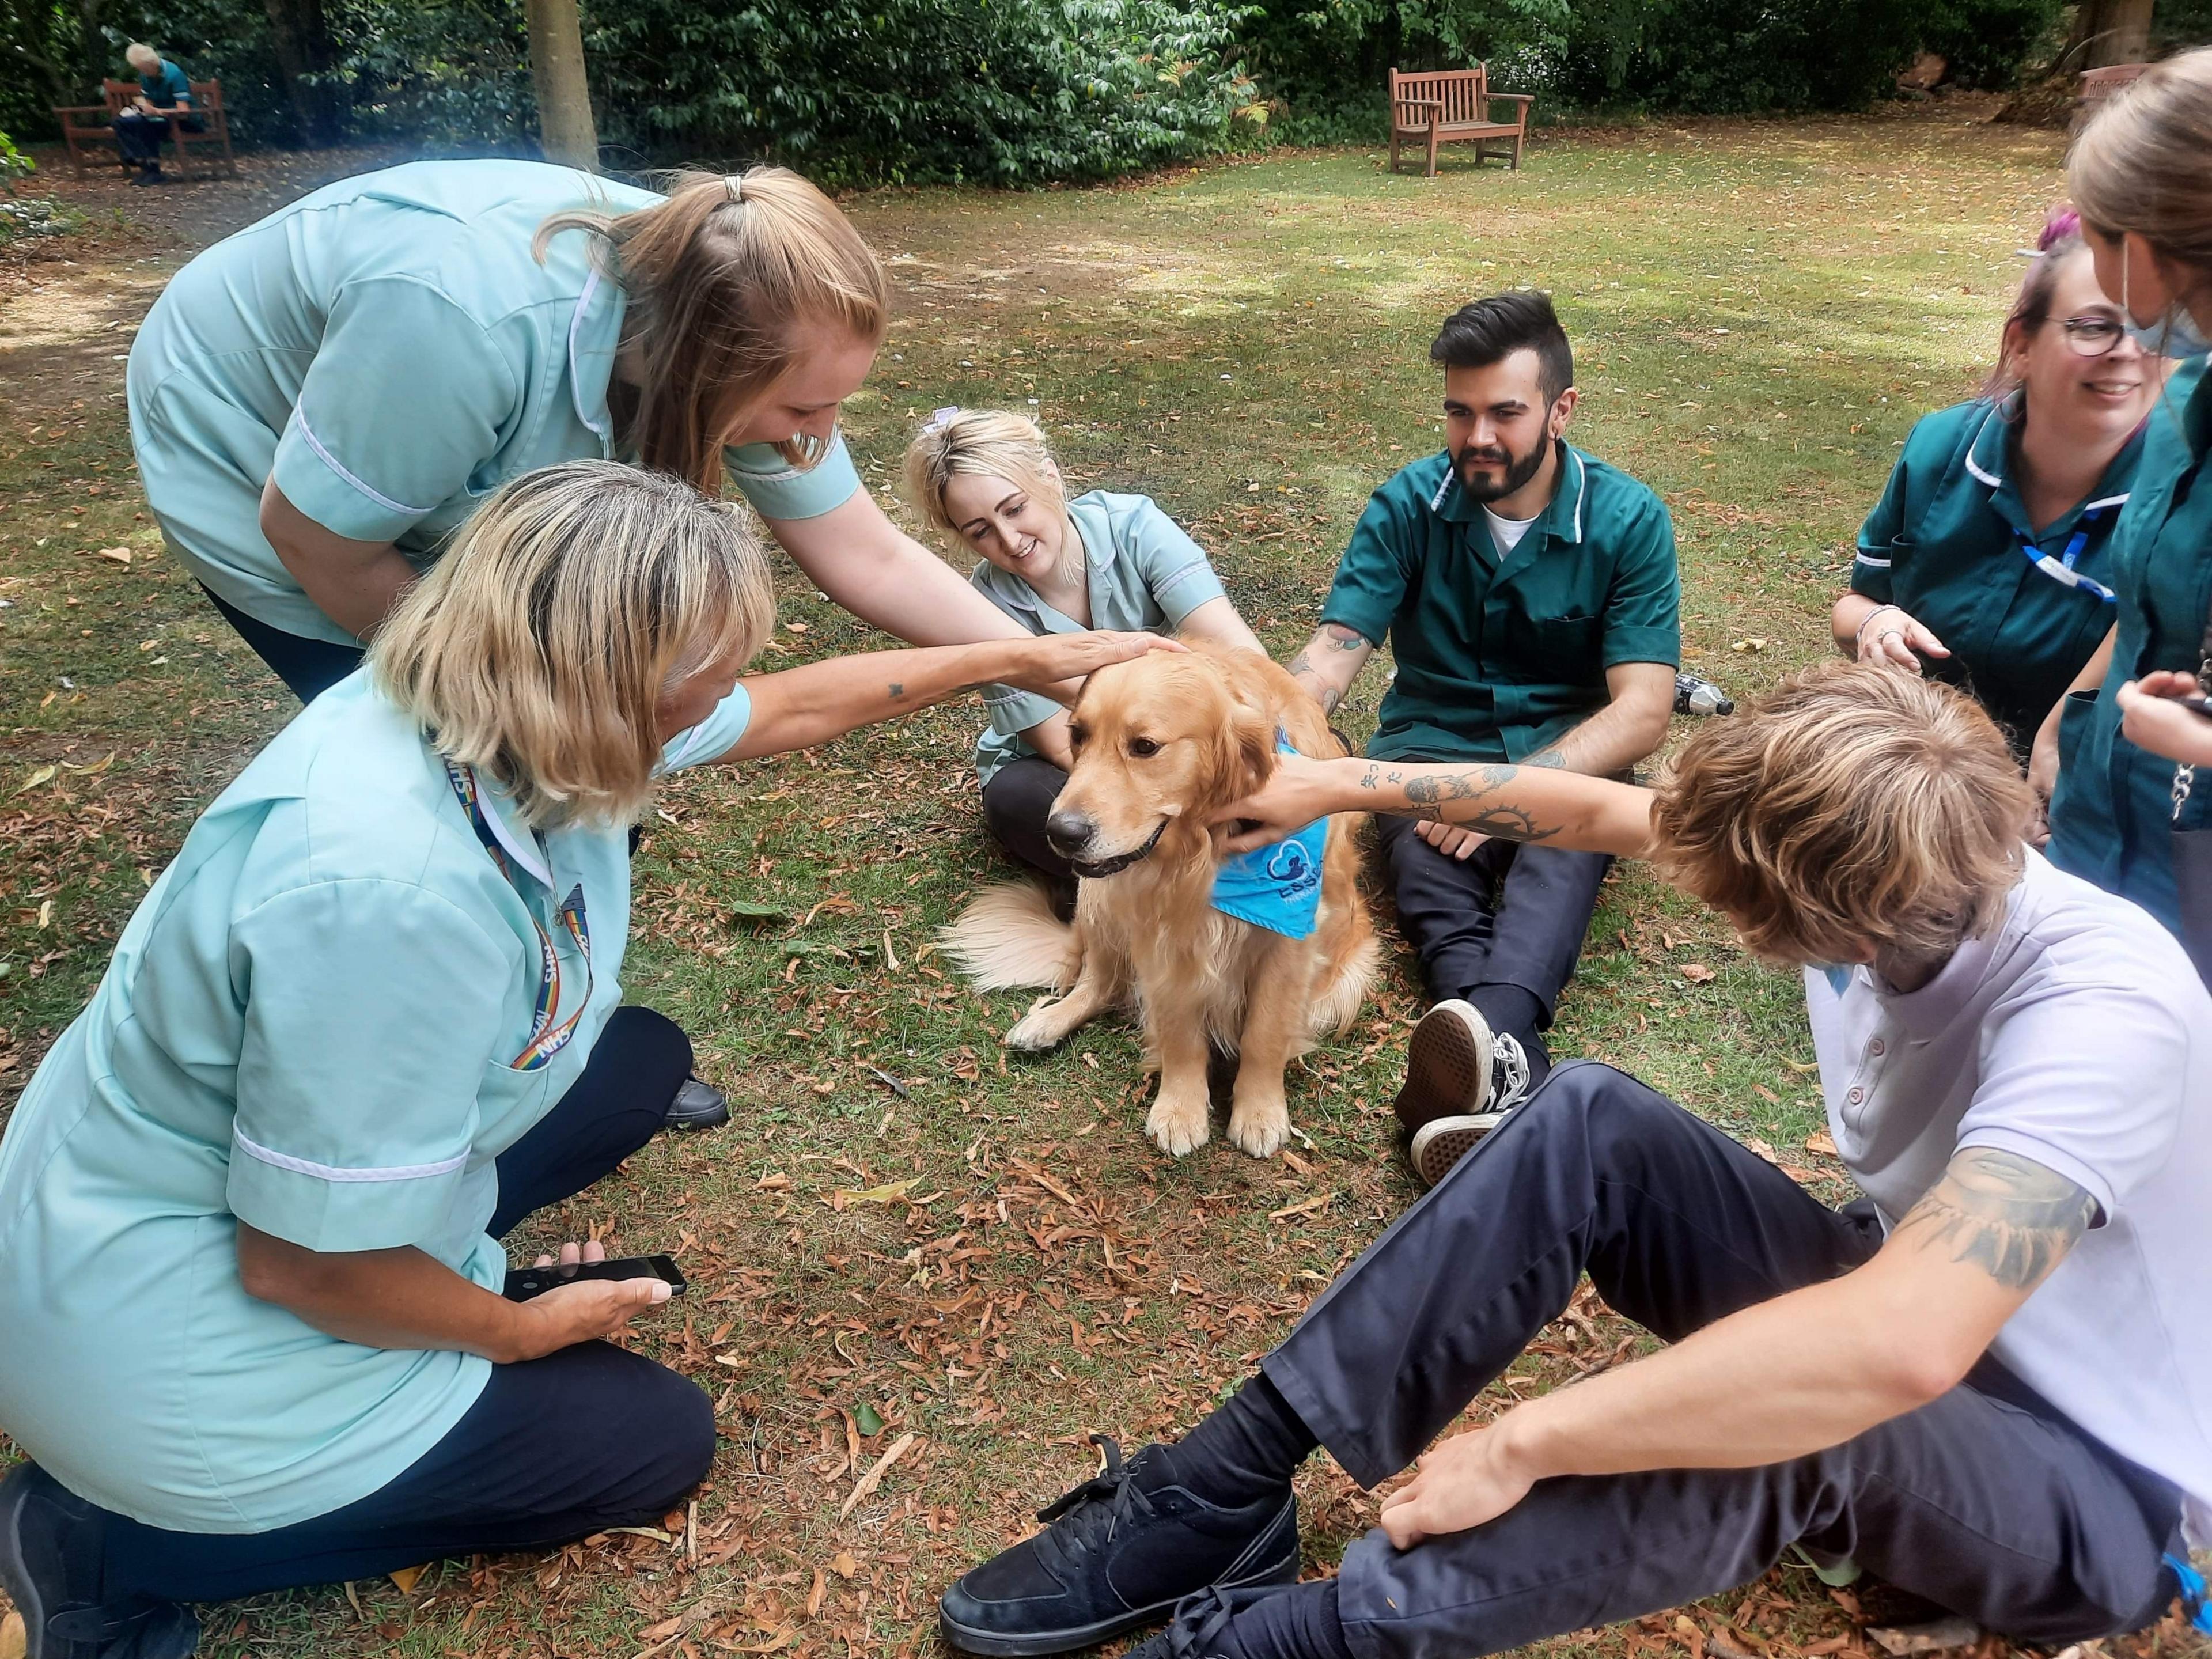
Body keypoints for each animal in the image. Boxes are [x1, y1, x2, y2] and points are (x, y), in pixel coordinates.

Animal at [942, 641, 1371, 1159]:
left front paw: (1261, 1111)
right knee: (1096, 983)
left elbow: (1265, 1033)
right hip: (1099, 899)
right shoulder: (1161, 932)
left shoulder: (1291, 941)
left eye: (1144, 747)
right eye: (1078, 735)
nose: (1062, 833)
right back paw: (1046, 1022)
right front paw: (1180, 1110)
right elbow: (1180, 1033)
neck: (1202, 853)